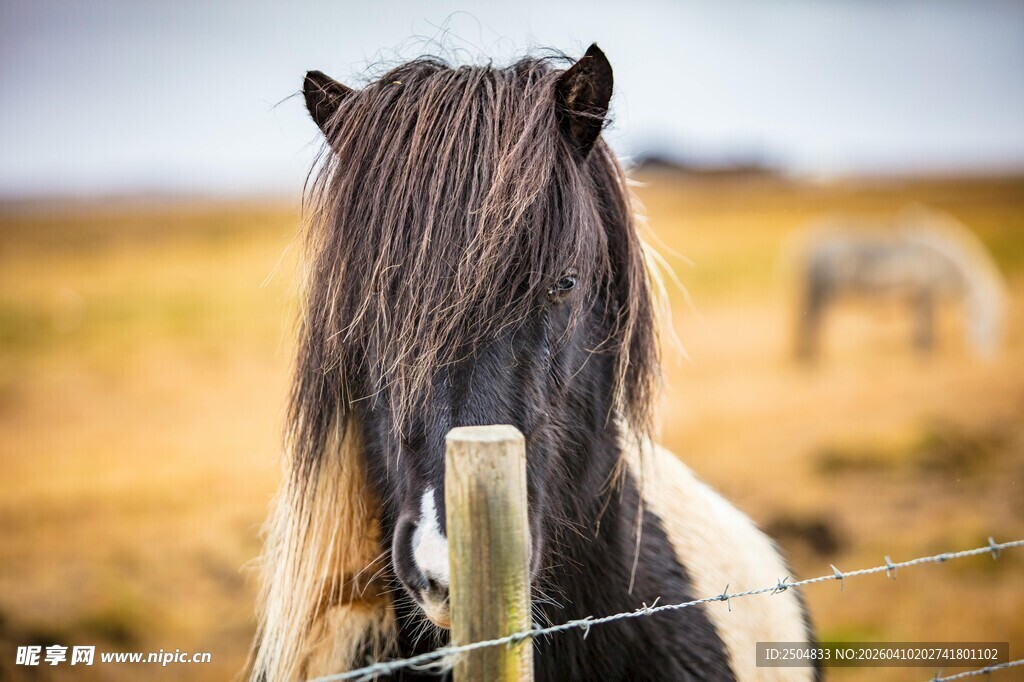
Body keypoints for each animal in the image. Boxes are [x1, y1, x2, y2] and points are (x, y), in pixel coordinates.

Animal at [793, 206, 1007, 361]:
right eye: (991, 322)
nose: (989, 360)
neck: (943, 262)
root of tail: (808, 240)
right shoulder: (926, 295)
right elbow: (929, 326)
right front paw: (928, 354)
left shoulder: (916, 299)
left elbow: (918, 328)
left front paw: (920, 351)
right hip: (822, 291)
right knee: (813, 321)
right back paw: (812, 358)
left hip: (817, 291)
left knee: (810, 321)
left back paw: (808, 357)